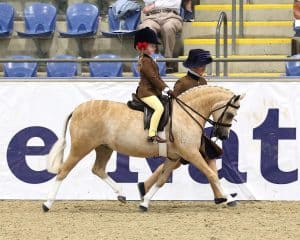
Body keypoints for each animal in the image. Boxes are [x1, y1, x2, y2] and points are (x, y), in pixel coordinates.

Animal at [42, 85, 244, 212]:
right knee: (63, 171)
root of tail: (77, 109)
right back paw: (47, 204)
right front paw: (230, 199)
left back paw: (121, 194)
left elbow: (161, 180)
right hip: (81, 147)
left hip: (104, 148)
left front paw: (145, 203)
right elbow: (211, 174)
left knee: (98, 169)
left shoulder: (174, 157)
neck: (185, 114)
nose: (223, 136)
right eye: (231, 114)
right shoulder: (191, 153)